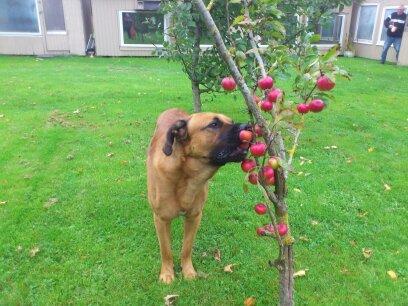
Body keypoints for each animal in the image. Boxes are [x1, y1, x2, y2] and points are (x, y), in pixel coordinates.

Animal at [147, 109, 249, 284]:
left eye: (230, 121)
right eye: (214, 124)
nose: (250, 126)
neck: (185, 175)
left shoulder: (194, 216)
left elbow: (187, 248)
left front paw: (188, 271)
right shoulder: (161, 219)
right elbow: (165, 250)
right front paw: (167, 273)